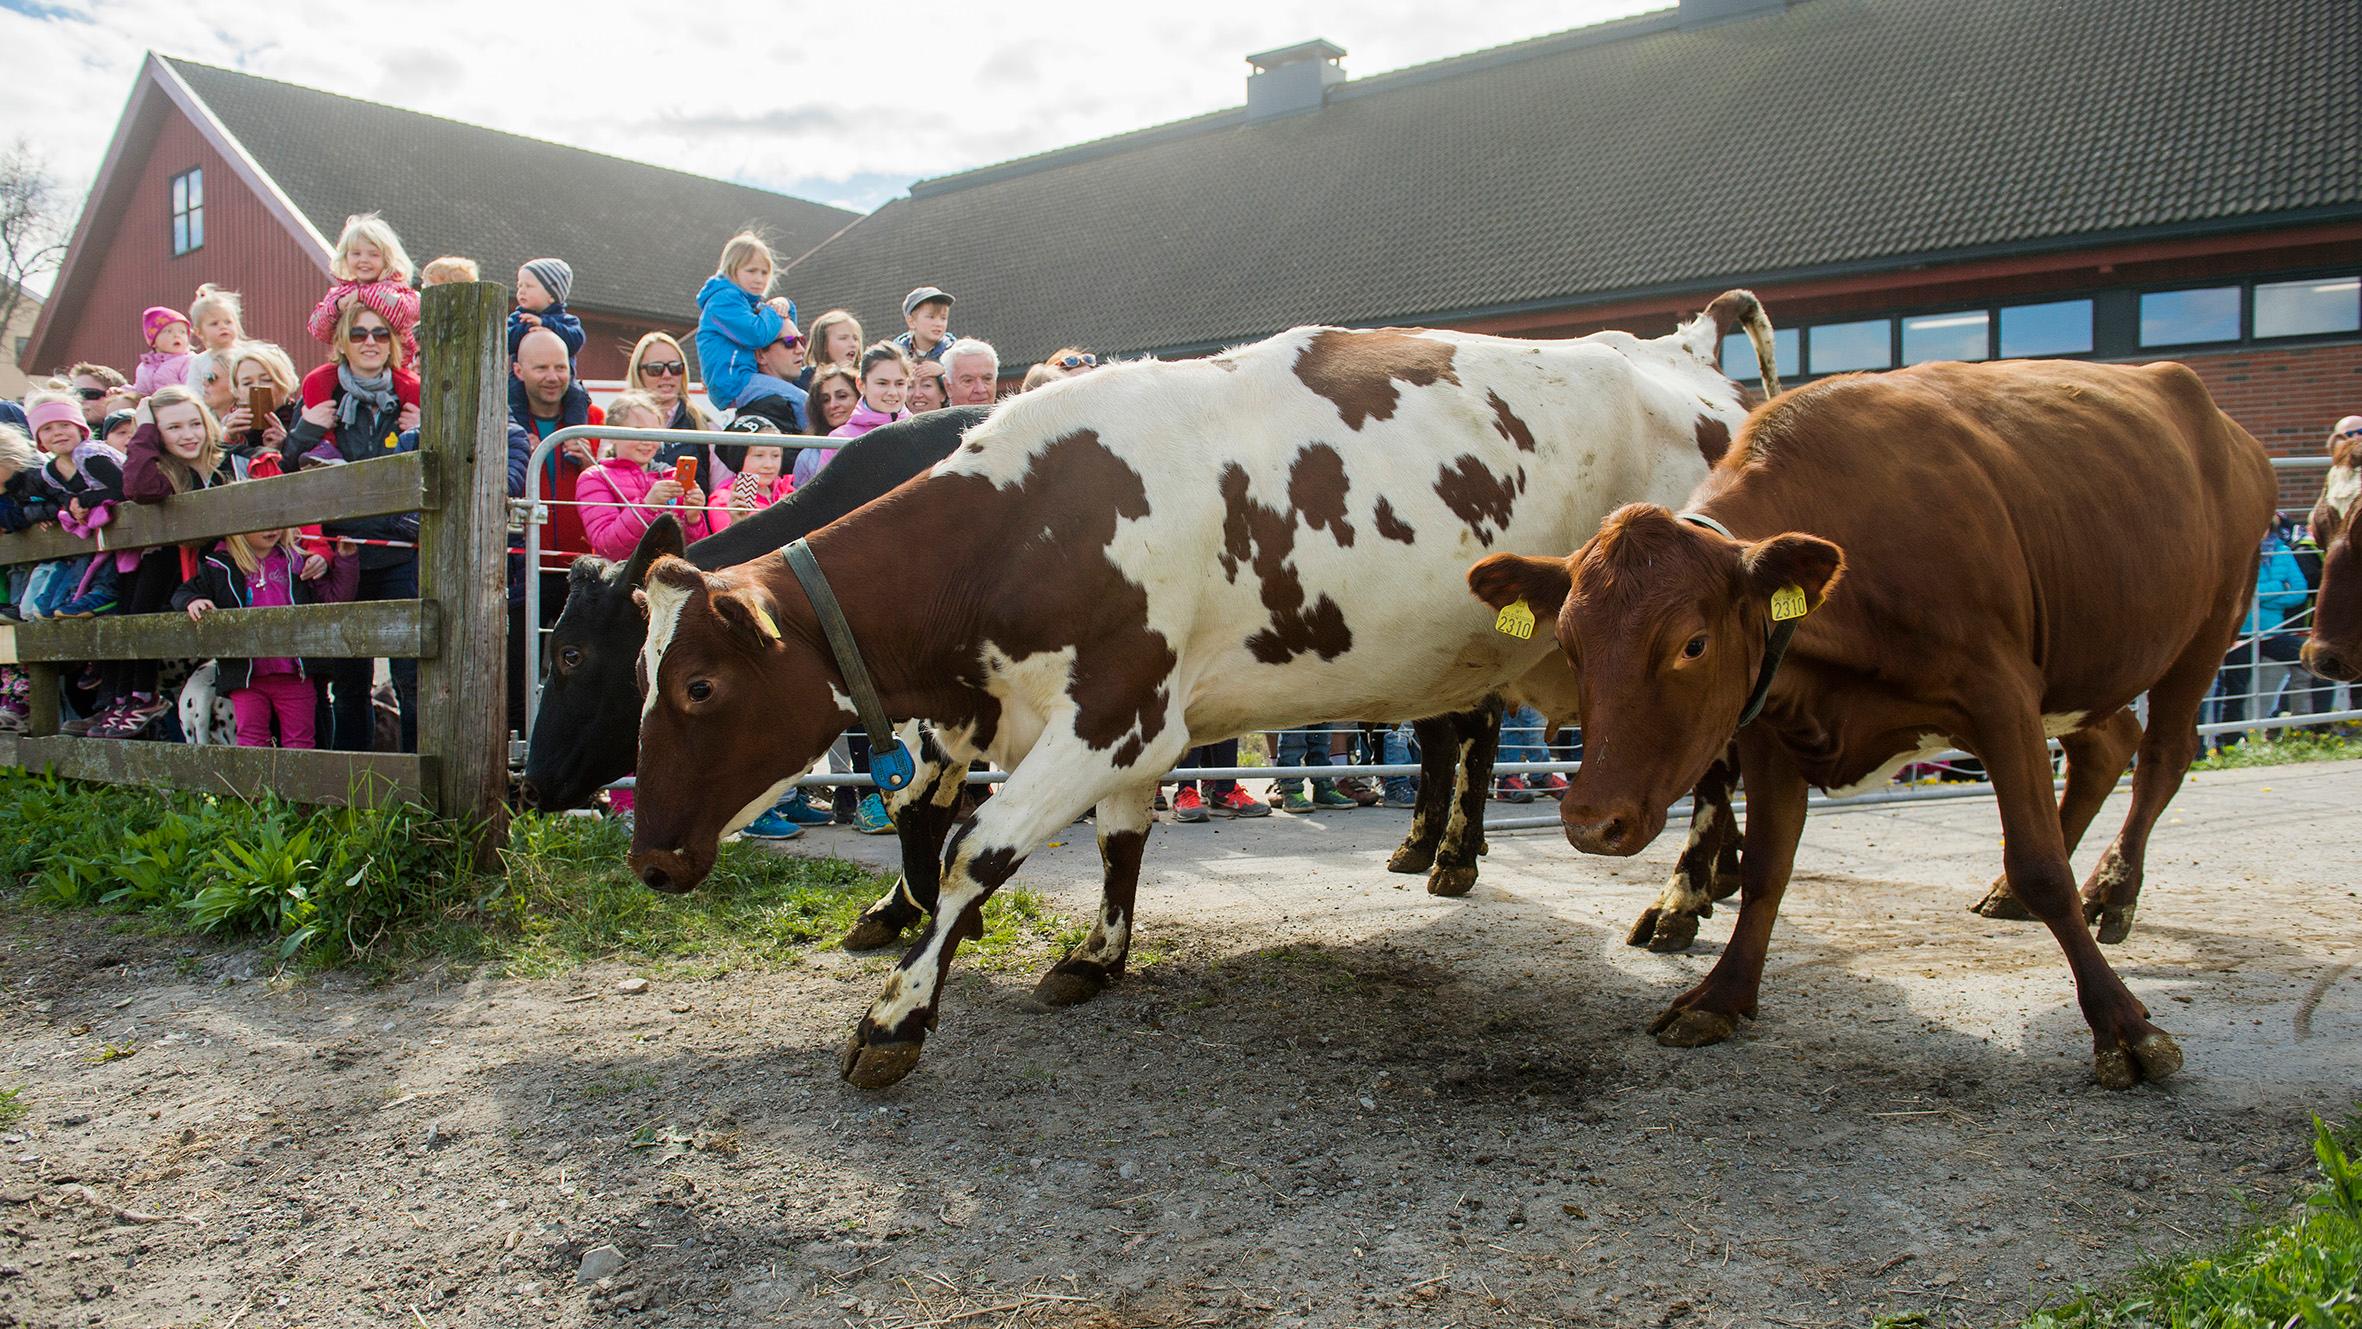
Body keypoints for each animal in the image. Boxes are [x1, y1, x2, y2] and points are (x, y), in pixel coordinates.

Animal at [628, 296, 1776, 1085]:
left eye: (697, 686)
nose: (647, 861)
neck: (1034, 520)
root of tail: (1680, 350)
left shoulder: (1111, 711)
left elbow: (971, 851)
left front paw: (894, 1018)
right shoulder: (1124, 726)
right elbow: (1118, 843)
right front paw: (1097, 956)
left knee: (1716, 768)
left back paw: (1683, 900)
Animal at [1473, 358, 2267, 1085]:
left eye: (1692, 643)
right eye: (1570, 643)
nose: (1588, 820)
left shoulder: (2001, 695)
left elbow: (2041, 864)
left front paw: (2123, 1026)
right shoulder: (1769, 722)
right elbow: (1766, 868)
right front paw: (1722, 995)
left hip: (2207, 629)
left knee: (2162, 755)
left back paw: (2114, 890)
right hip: (2083, 664)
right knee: (2108, 745)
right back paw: (2039, 891)